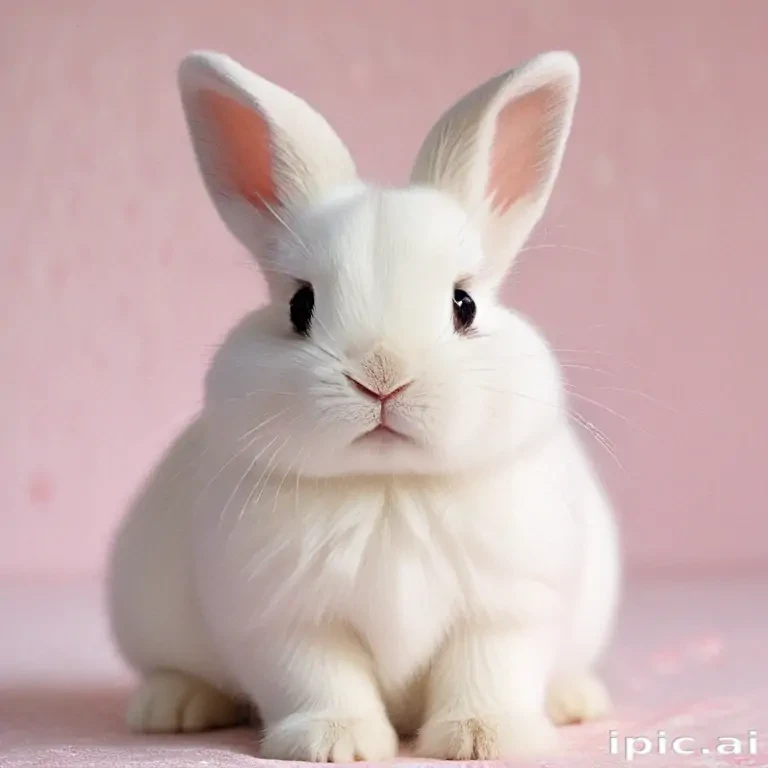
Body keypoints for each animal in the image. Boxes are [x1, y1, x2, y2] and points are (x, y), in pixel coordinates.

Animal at [107, 49, 621, 762]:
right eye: (300, 306)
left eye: (464, 304)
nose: (383, 377)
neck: (389, 486)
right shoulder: (285, 619)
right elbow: (320, 679)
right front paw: (334, 743)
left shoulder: (506, 610)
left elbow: (486, 670)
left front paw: (485, 738)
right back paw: (171, 708)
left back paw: (576, 700)